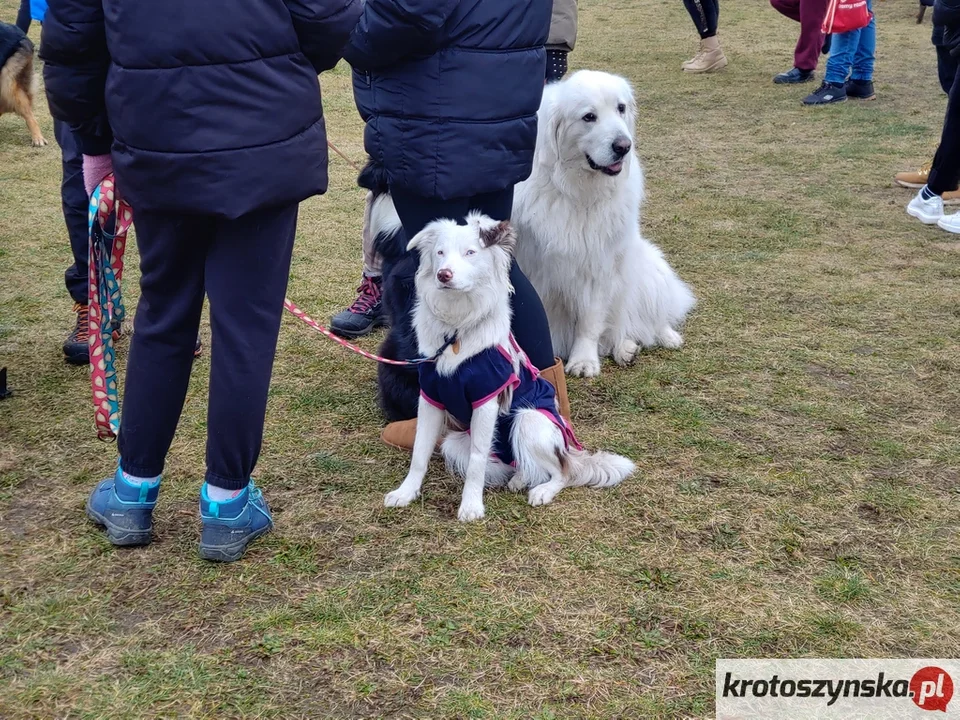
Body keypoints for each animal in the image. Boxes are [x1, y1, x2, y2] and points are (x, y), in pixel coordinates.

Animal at [382, 214, 636, 524]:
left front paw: (471, 506)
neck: (457, 329)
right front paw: (406, 492)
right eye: (440, 252)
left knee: (562, 471)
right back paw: (519, 478)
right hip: (455, 441)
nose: (444, 275)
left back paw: (542, 490)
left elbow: (477, 460)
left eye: (470, 252)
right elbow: (420, 451)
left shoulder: (487, 399)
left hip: (528, 420)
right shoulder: (430, 397)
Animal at [512, 70, 692, 380]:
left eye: (621, 108)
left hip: (649, 269)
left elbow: (590, 320)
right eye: (589, 117)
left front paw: (584, 360)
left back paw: (659, 339)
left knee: (645, 321)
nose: (624, 146)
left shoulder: (598, 265)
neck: (576, 191)